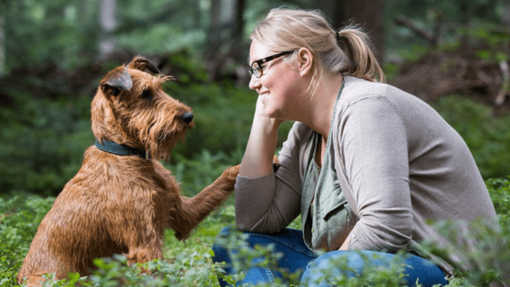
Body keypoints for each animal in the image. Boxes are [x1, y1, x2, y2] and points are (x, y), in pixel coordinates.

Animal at [16, 55, 239, 286]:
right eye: (145, 93)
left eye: (160, 88)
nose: (188, 116)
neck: (127, 155)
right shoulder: (145, 244)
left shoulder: (183, 213)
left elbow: (222, 180)